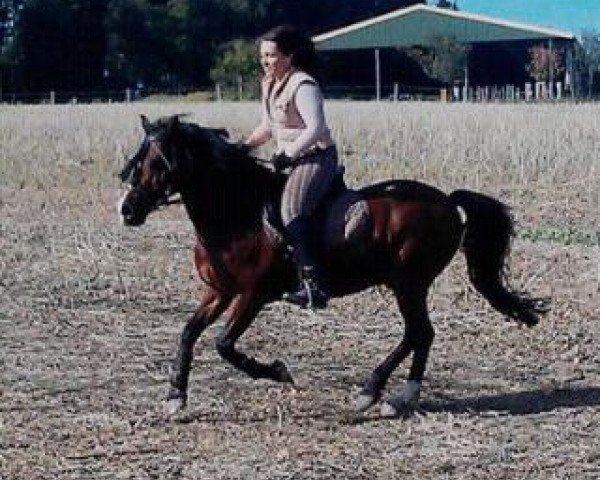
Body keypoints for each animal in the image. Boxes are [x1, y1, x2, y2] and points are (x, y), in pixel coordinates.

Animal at [116, 114, 548, 418]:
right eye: (138, 161)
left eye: (159, 162)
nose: (127, 210)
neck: (238, 214)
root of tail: (447, 201)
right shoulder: (219, 291)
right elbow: (188, 333)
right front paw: (175, 397)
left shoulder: (254, 295)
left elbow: (224, 344)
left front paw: (277, 371)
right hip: (407, 284)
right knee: (421, 335)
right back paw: (395, 397)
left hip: (409, 283)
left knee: (419, 332)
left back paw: (376, 394)